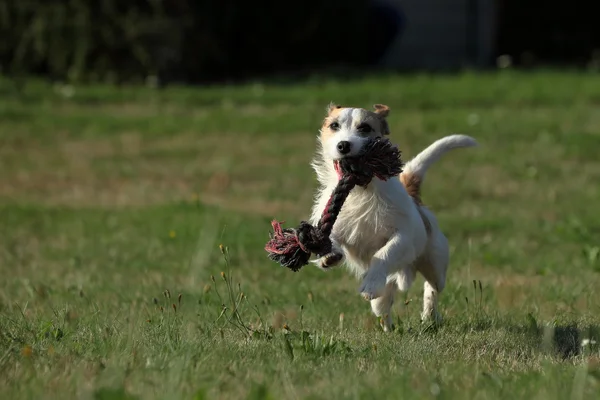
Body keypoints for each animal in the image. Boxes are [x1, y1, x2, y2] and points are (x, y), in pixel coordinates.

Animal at [310, 101, 478, 330]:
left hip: (436, 265)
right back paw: (389, 329)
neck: (361, 190)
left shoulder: (403, 237)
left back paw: (429, 316)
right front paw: (330, 255)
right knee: (383, 306)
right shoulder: (336, 225)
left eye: (364, 128)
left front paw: (371, 283)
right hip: (389, 293)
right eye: (334, 125)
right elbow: (330, 237)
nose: (343, 145)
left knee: (432, 287)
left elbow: (384, 254)